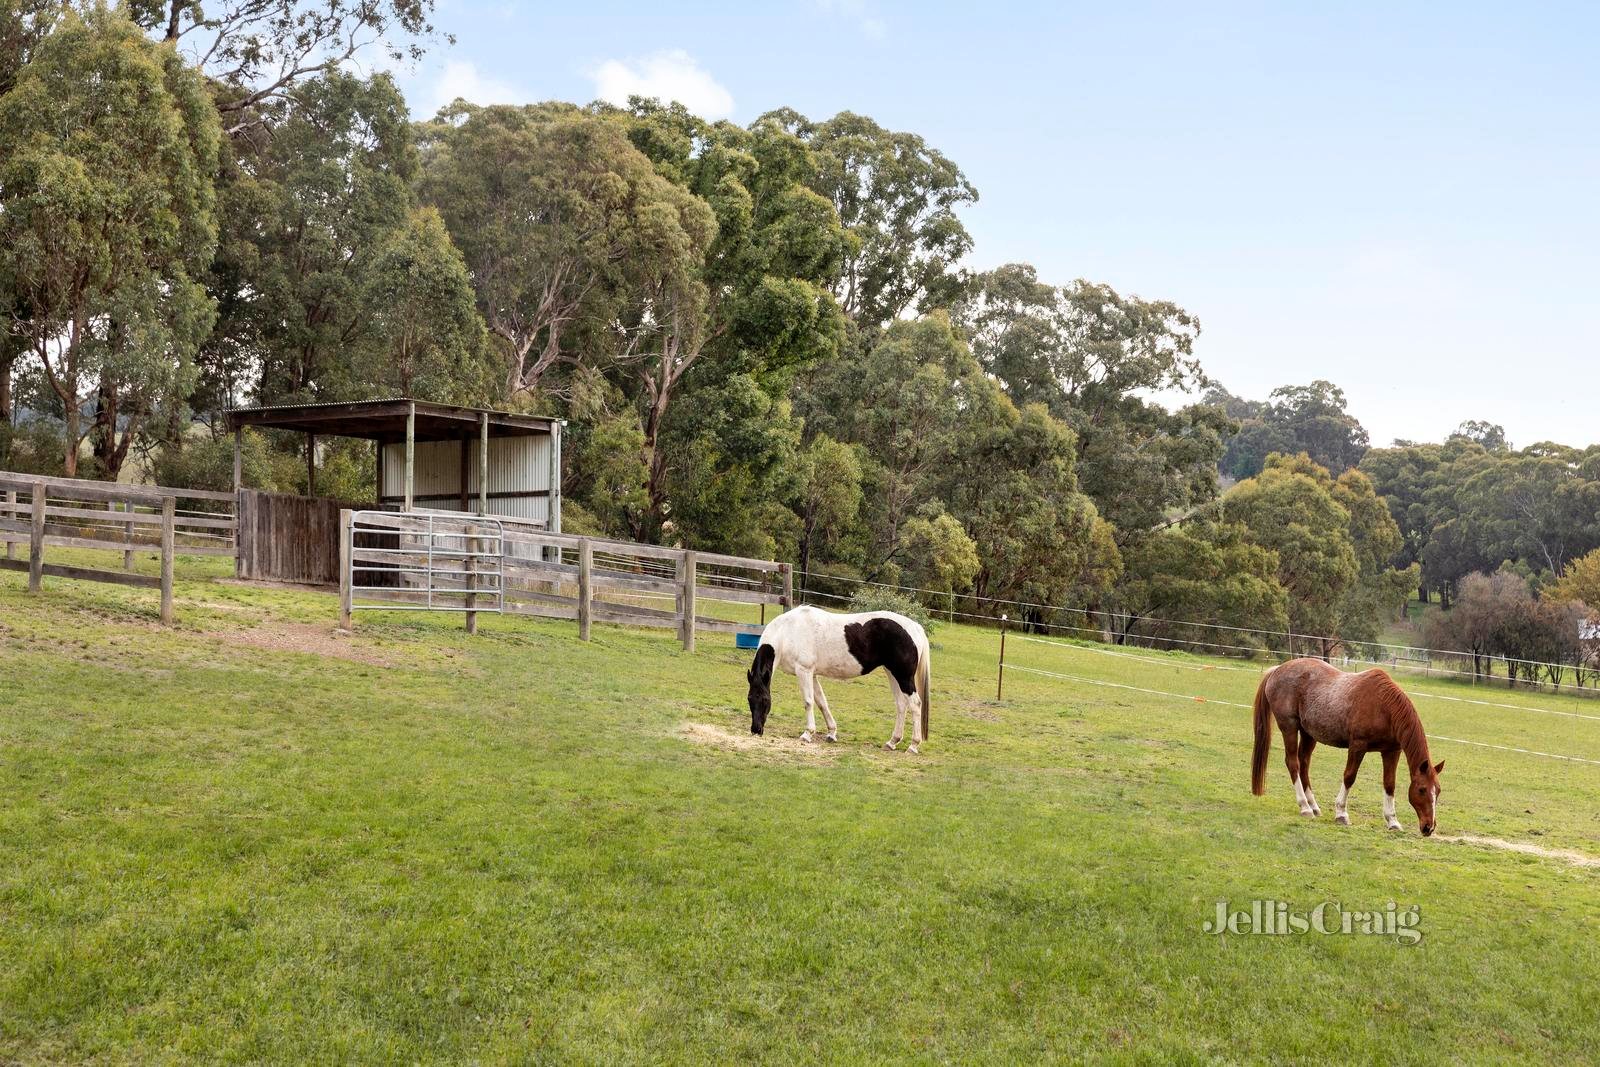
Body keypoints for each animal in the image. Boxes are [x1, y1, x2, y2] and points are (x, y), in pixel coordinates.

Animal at [745, 607, 934, 751]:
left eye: (765, 700)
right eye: (749, 699)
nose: (756, 729)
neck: (787, 631)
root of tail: (915, 627)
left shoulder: (804, 671)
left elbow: (808, 702)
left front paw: (807, 734)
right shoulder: (813, 674)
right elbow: (822, 702)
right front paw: (831, 733)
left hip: (904, 677)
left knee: (915, 704)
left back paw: (913, 745)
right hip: (892, 673)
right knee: (901, 705)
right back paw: (892, 742)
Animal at [1254, 659, 1446, 831]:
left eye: (1437, 791)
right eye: (1422, 790)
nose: (1429, 827)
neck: (1384, 708)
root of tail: (1277, 670)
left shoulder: (1392, 751)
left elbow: (1389, 784)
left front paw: (1393, 821)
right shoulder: (1358, 747)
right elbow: (1349, 776)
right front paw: (1341, 813)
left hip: (1309, 733)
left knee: (1304, 764)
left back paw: (1313, 806)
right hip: (1289, 727)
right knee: (1293, 763)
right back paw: (1305, 807)